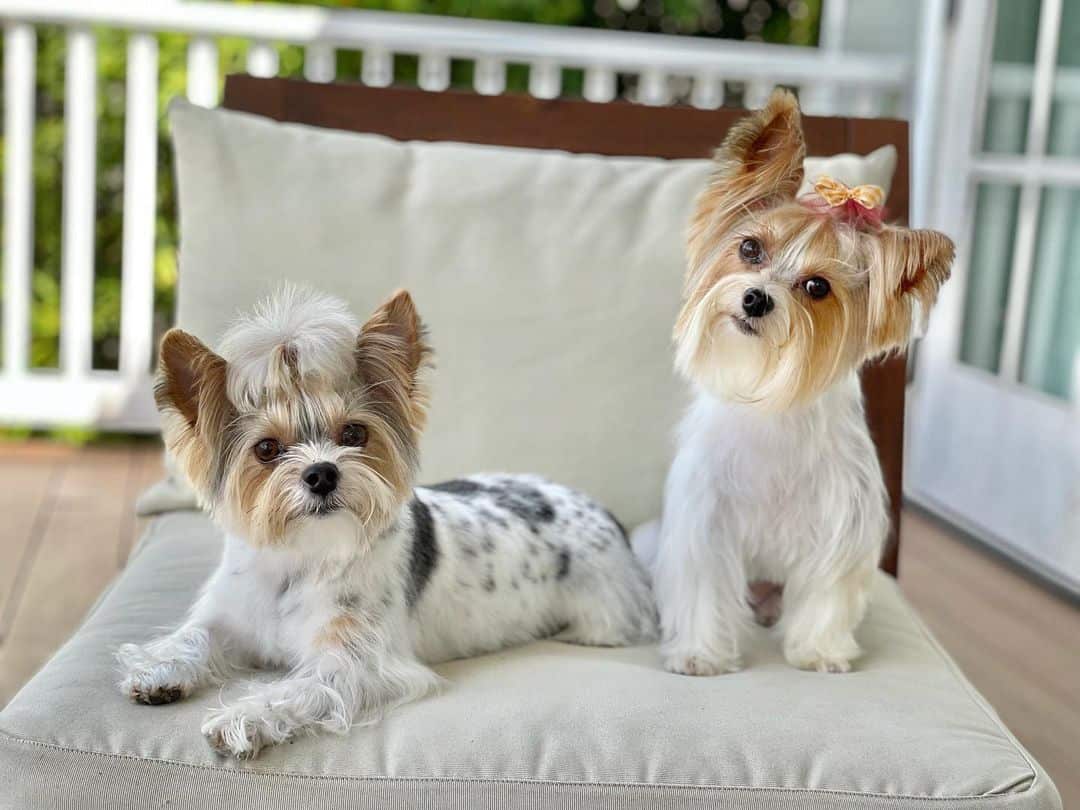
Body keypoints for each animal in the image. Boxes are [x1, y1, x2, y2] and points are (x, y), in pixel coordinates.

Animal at [118, 287, 656, 760]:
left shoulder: (356, 663)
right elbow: (196, 633)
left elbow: (297, 689)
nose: (322, 473)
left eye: (355, 433)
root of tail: (599, 509)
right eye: (266, 449)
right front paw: (157, 670)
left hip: (604, 613)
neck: (305, 554)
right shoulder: (233, 616)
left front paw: (242, 718)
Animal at [630, 90, 954, 678]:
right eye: (750, 249)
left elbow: (827, 593)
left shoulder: (843, 522)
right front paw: (700, 654)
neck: (771, 399)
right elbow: (702, 586)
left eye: (817, 286)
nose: (756, 297)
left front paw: (819, 652)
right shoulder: (704, 522)